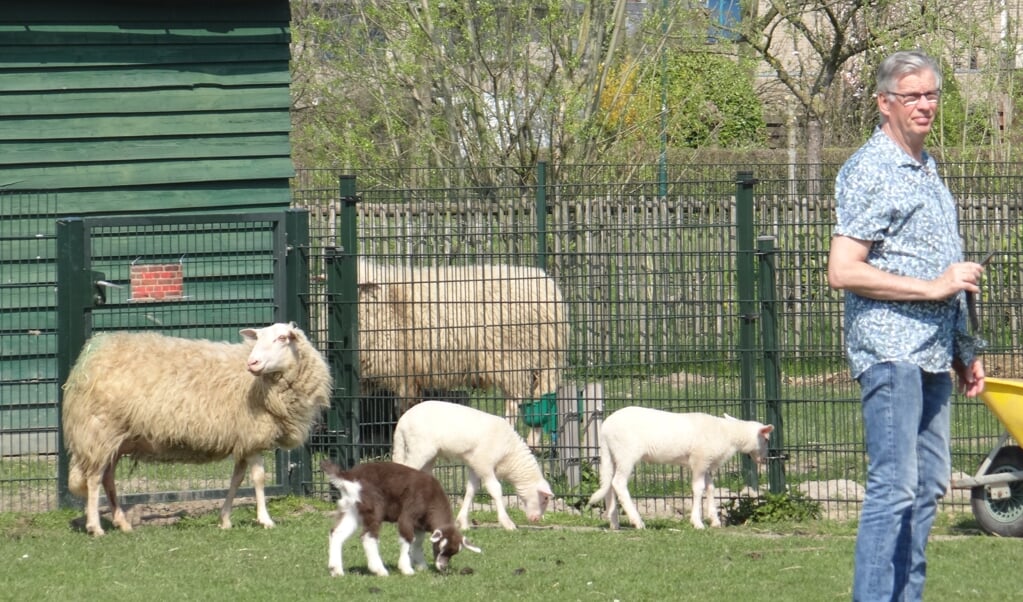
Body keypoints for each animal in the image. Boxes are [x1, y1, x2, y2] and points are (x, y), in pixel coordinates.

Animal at [61, 321, 331, 536]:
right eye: (258, 338)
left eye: (283, 338)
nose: (252, 362)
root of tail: (89, 356)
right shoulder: (253, 437)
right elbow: (259, 479)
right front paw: (265, 519)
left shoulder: (242, 440)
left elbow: (237, 479)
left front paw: (225, 519)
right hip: (99, 430)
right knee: (94, 479)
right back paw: (95, 527)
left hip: (115, 440)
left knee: (108, 479)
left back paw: (122, 523)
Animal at [358, 259, 568, 442]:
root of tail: (547, 283)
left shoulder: (403, 371)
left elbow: (403, 409)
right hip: (541, 358)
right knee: (541, 401)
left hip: (515, 357)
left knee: (518, 402)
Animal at [388, 399, 552, 532]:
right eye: (545, 499)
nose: (536, 519)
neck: (510, 455)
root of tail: (402, 421)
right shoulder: (484, 464)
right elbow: (496, 490)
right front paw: (507, 523)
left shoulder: (475, 465)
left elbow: (471, 491)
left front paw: (463, 522)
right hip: (420, 449)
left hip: (428, 456)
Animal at [589, 407, 769, 528]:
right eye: (766, 439)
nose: (765, 459)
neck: (728, 434)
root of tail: (605, 429)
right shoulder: (699, 460)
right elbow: (699, 489)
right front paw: (697, 522)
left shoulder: (707, 463)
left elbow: (711, 488)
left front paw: (715, 521)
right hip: (626, 453)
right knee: (618, 483)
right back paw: (637, 521)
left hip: (612, 455)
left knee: (609, 484)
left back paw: (614, 523)